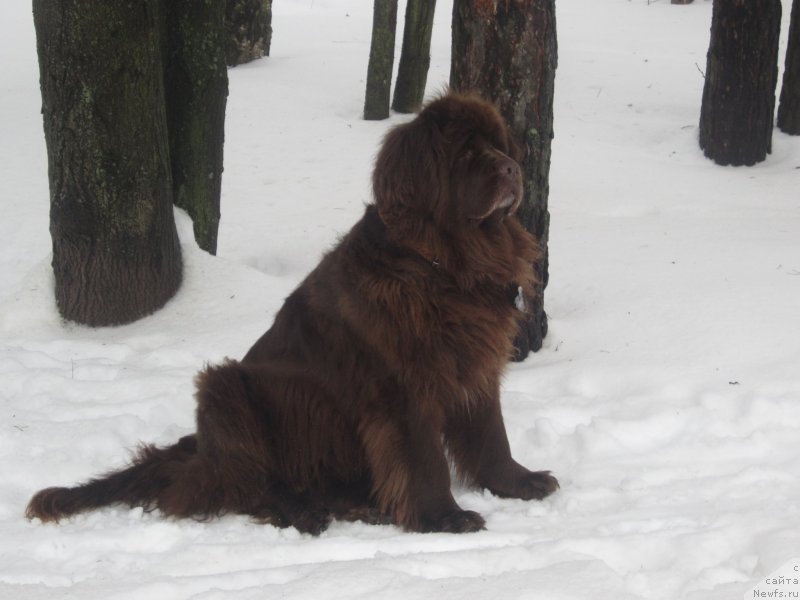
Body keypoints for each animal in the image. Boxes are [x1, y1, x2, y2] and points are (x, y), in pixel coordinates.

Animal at [28, 94, 560, 536]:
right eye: (467, 153)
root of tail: (199, 448)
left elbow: (492, 435)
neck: (444, 266)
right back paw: (303, 512)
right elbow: (424, 459)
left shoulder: (475, 365)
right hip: (226, 388)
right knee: (244, 485)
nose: (513, 169)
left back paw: (355, 503)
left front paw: (520, 482)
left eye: (500, 147)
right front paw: (444, 516)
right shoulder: (404, 385)